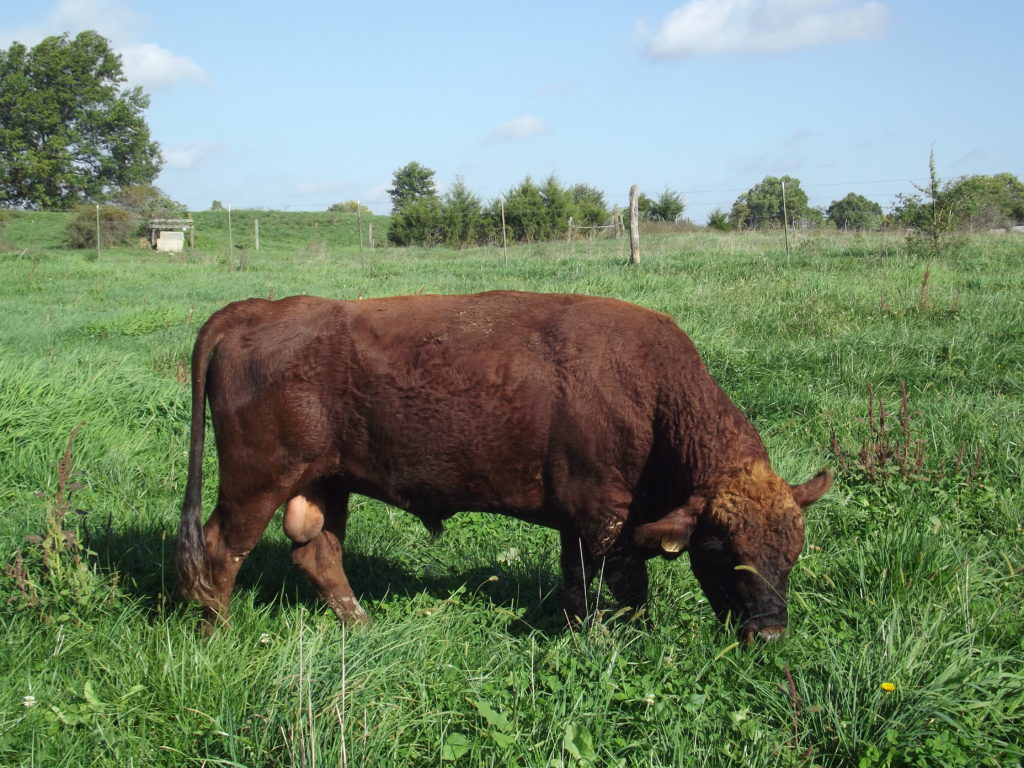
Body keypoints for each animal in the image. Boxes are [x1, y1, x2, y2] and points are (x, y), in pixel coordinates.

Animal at [178, 290, 831, 638]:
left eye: (793, 553)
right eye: (721, 550)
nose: (769, 631)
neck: (650, 393)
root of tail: (257, 311)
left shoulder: (581, 523)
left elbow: (577, 584)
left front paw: (578, 630)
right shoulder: (606, 519)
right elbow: (626, 586)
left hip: (324, 484)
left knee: (317, 552)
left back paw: (361, 624)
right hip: (255, 482)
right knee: (219, 549)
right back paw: (217, 633)